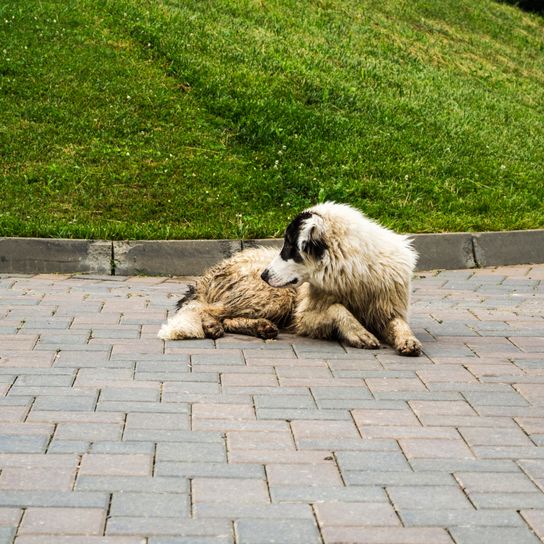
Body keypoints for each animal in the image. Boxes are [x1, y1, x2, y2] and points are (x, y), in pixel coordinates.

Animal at [157, 201, 420, 356]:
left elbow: (399, 323)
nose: (264, 274)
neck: (353, 275)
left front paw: (408, 340)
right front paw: (359, 332)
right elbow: (337, 309)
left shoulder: (387, 309)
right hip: (273, 296)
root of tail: (208, 274)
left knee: (226, 316)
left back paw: (259, 327)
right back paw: (211, 325)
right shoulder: (306, 317)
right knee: (203, 308)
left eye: (289, 247)